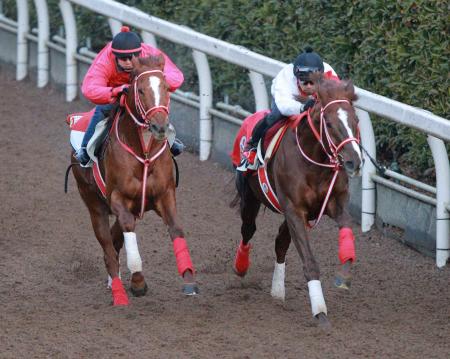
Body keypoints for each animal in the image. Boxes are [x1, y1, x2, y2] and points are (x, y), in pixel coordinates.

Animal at [71, 55, 198, 306]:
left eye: (166, 87)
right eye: (139, 90)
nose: (159, 126)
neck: (144, 151)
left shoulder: (164, 194)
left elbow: (176, 228)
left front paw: (189, 279)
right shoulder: (117, 198)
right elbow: (128, 229)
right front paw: (138, 282)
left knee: (114, 240)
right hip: (94, 204)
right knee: (108, 247)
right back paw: (118, 292)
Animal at [232, 77, 362, 328]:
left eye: (356, 120)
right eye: (329, 123)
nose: (354, 161)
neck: (313, 162)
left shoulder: (333, 204)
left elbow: (347, 229)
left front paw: (344, 276)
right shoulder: (294, 209)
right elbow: (309, 262)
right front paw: (320, 312)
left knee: (280, 241)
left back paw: (277, 291)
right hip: (250, 197)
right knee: (248, 230)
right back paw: (241, 266)